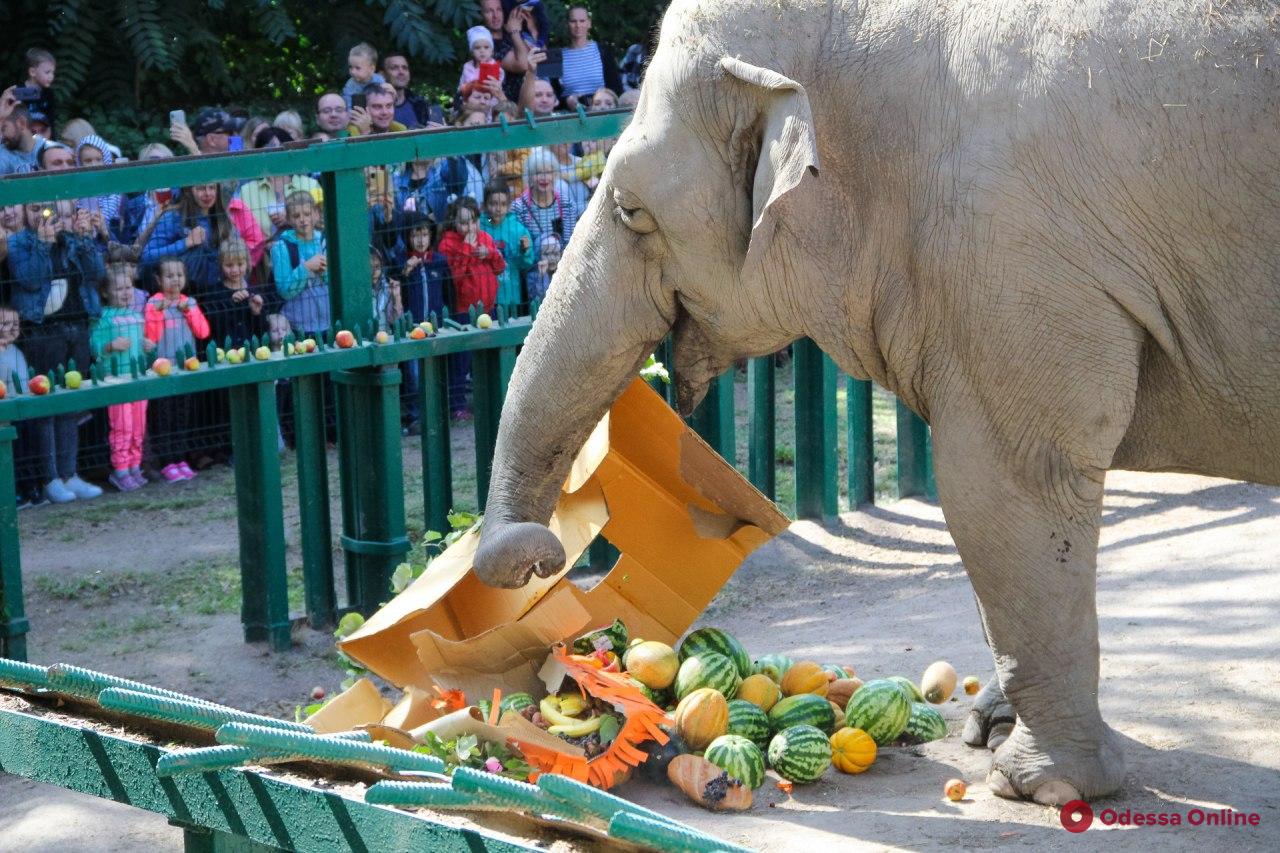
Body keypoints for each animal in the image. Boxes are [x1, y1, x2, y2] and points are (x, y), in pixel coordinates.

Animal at [473, 0, 1280, 804]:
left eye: (632, 209)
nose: (542, 556)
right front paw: (992, 735)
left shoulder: (1011, 257)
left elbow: (1006, 485)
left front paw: (1040, 787)